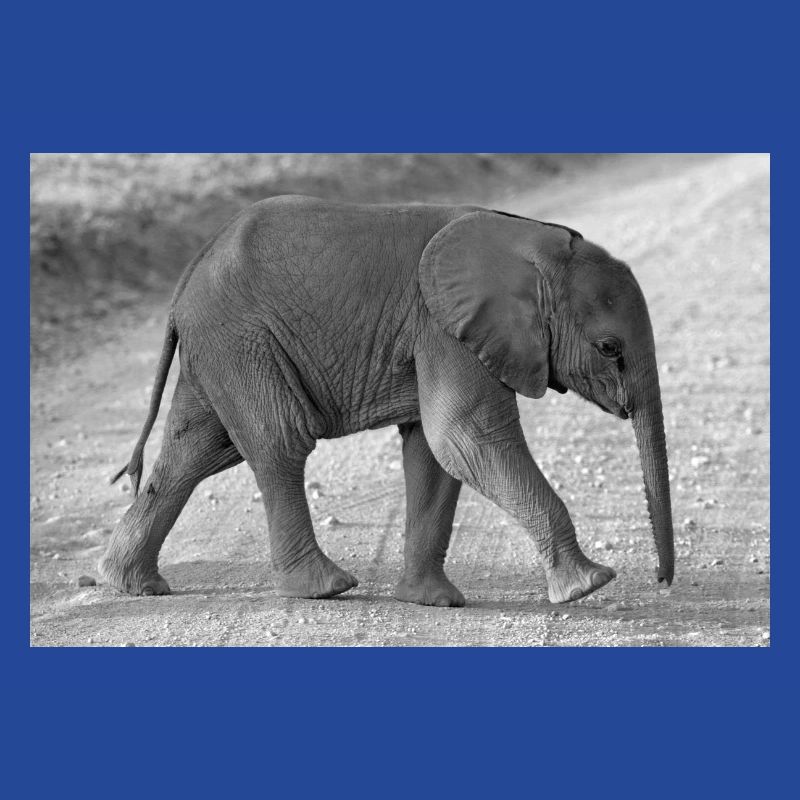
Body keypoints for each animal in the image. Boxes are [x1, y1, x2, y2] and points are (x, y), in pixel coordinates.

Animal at [99, 195, 674, 607]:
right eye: (609, 348)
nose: (662, 581)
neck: (532, 240)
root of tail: (189, 276)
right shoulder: (442, 327)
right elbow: (465, 437)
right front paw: (590, 585)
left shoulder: (442, 333)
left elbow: (434, 453)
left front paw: (433, 602)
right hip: (242, 339)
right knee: (278, 442)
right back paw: (326, 588)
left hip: (219, 346)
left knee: (194, 452)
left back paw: (132, 585)